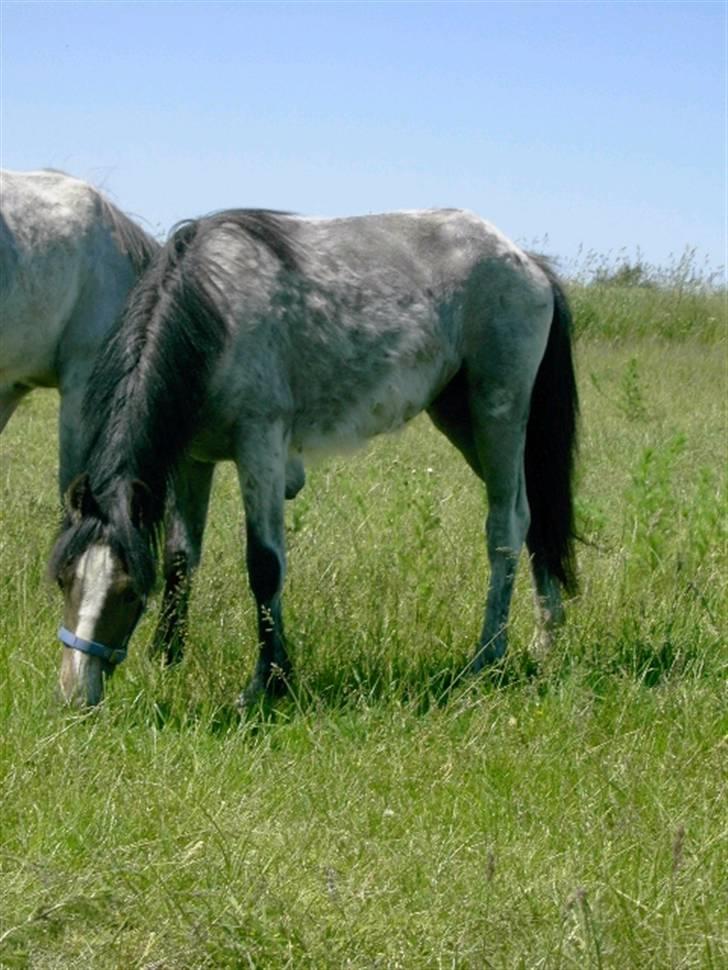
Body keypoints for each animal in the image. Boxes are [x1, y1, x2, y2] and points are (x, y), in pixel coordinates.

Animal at [48, 208, 576, 704]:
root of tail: (527, 262)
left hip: (496, 412)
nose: (75, 693)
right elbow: (181, 557)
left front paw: (268, 682)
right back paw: (545, 639)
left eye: (127, 591)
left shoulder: (259, 448)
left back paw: (488, 655)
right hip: (460, 416)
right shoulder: (194, 461)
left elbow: (264, 565)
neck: (215, 313)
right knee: (532, 518)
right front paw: (168, 658)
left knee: (504, 528)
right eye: (65, 579)